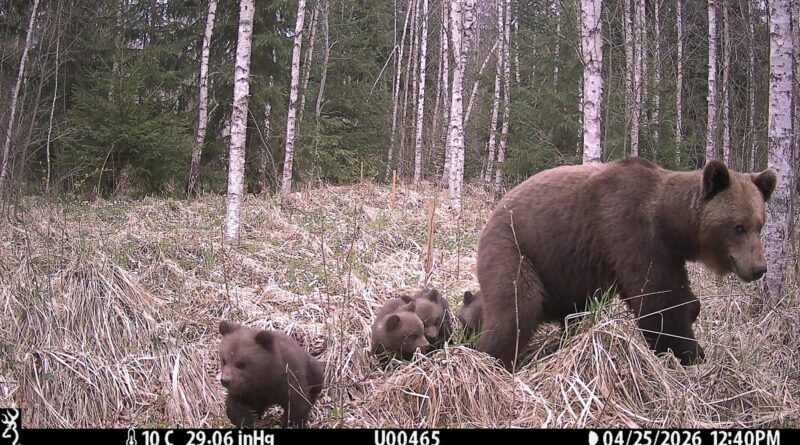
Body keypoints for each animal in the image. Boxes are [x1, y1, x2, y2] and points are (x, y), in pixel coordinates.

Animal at [476, 158, 776, 370]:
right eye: (738, 227)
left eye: (759, 225)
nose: (759, 268)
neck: (669, 225)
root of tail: (493, 213)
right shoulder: (632, 233)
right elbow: (659, 303)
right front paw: (689, 354)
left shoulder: (666, 253)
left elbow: (679, 298)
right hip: (515, 249)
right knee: (516, 309)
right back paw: (492, 360)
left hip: (563, 273)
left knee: (570, 311)